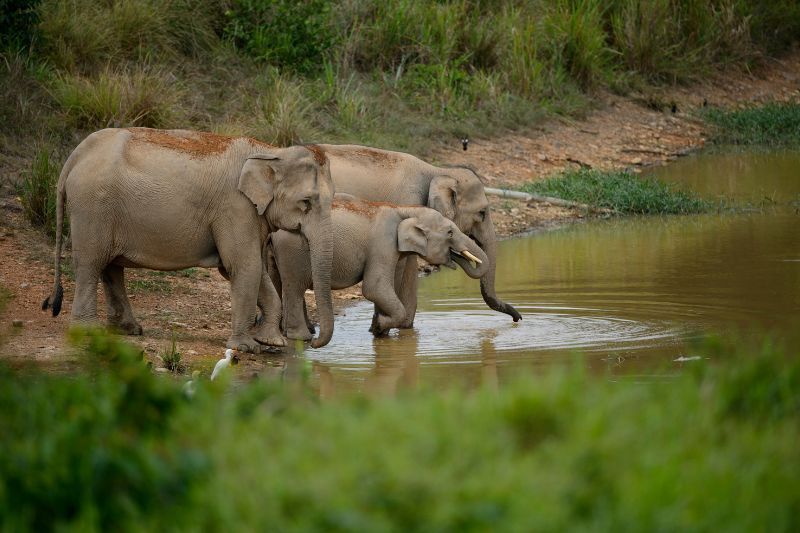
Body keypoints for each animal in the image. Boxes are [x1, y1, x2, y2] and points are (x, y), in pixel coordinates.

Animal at [40, 128, 336, 354]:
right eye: (306, 202)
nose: (313, 342)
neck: (272, 151)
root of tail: (76, 155)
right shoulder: (235, 207)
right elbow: (243, 265)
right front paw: (246, 347)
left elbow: (250, 269)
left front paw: (271, 342)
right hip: (92, 206)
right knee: (91, 264)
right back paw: (87, 332)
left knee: (111, 267)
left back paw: (128, 330)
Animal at [268, 195, 488, 336]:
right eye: (450, 232)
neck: (404, 208)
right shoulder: (383, 241)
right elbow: (374, 287)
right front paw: (379, 326)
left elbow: (382, 288)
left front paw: (378, 330)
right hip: (292, 250)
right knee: (295, 288)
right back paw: (302, 338)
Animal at [318, 145, 524, 326]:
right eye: (482, 213)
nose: (518, 319)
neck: (436, 171)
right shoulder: (405, 204)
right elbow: (404, 265)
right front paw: (391, 326)